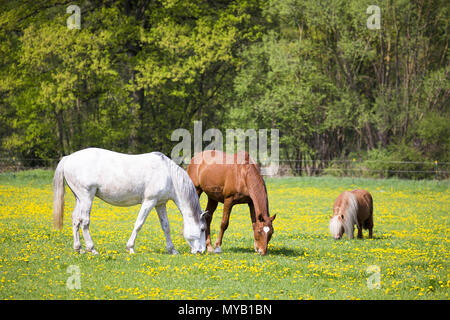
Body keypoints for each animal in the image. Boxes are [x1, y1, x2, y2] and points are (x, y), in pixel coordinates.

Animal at [53, 148, 207, 255]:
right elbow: (138, 224)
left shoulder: (160, 204)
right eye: (202, 229)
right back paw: (92, 249)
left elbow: (166, 227)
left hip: (79, 198)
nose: (202, 251)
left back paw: (78, 249)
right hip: (86, 197)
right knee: (84, 221)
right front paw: (130, 248)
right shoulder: (149, 201)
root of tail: (68, 158)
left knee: (75, 220)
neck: (167, 173)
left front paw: (172, 250)